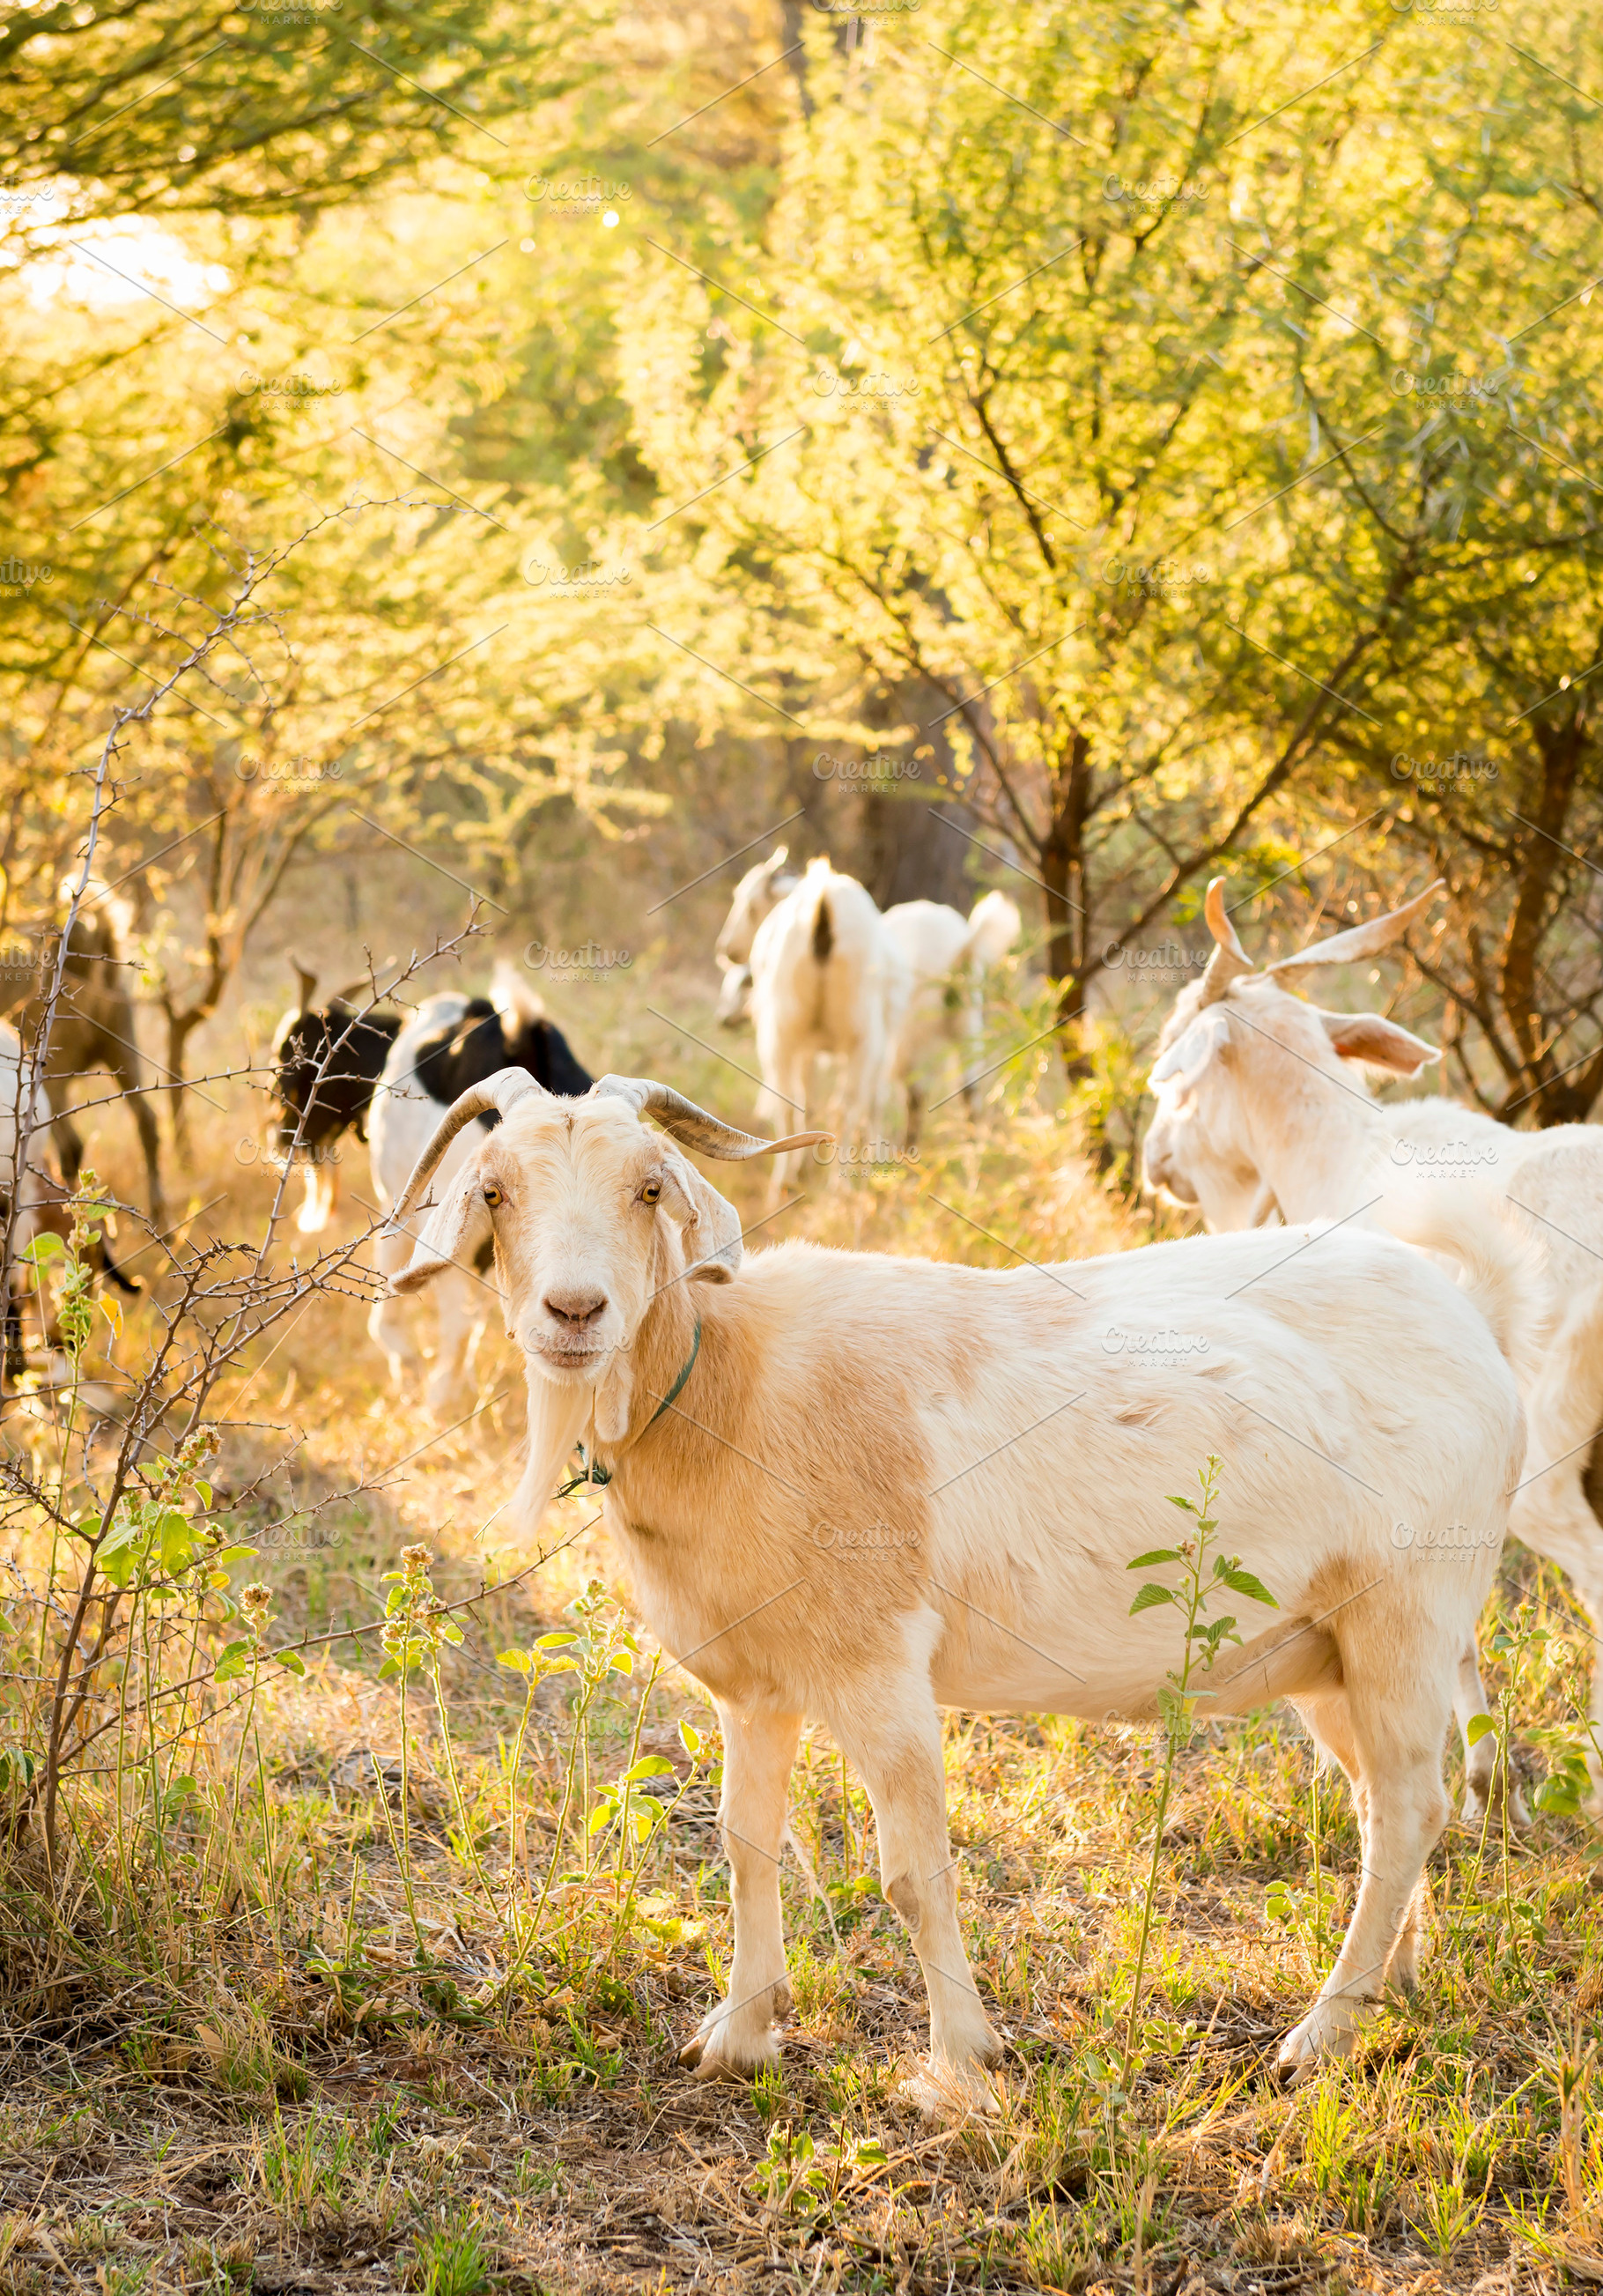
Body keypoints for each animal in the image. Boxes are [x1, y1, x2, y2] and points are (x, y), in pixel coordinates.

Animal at [385, 1064, 1528, 2096]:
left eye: (649, 1187)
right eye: (496, 1191)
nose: (573, 1311)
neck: (728, 1385)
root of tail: (1469, 1322)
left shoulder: (879, 1666)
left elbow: (911, 1873)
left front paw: (962, 2065)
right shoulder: (753, 1685)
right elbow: (749, 1845)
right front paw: (738, 2037)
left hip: (1405, 1616)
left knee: (1409, 1808)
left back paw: (1317, 2035)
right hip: (1324, 1651)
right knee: (1384, 1804)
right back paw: (1389, 1986)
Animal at [746, 858, 912, 1192]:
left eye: (750, 906)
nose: (725, 950)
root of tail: (825, 901)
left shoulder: (812, 1046)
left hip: (786, 1032)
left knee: (792, 1102)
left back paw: (787, 1183)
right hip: (859, 1037)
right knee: (845, 1107)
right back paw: (836, 1184)